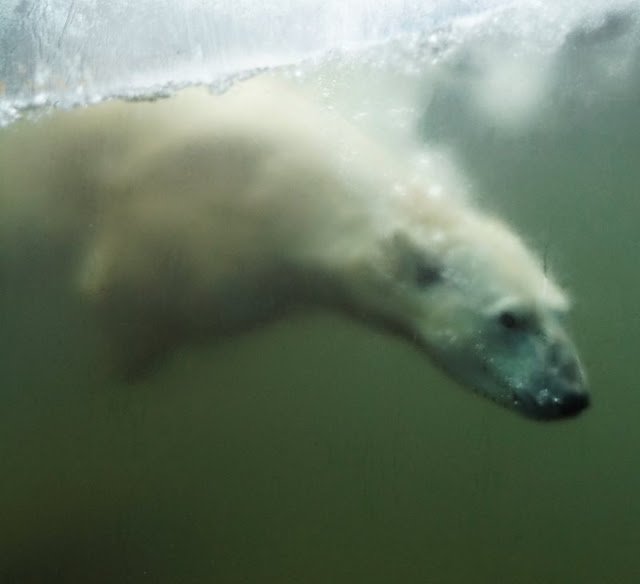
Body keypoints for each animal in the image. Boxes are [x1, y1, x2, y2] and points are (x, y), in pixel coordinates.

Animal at [0, 75, 592, 420]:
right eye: (509, 318)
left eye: (558, 310)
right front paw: (123, 362)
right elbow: (123, 284)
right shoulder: (187, 214)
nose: (573, 396)